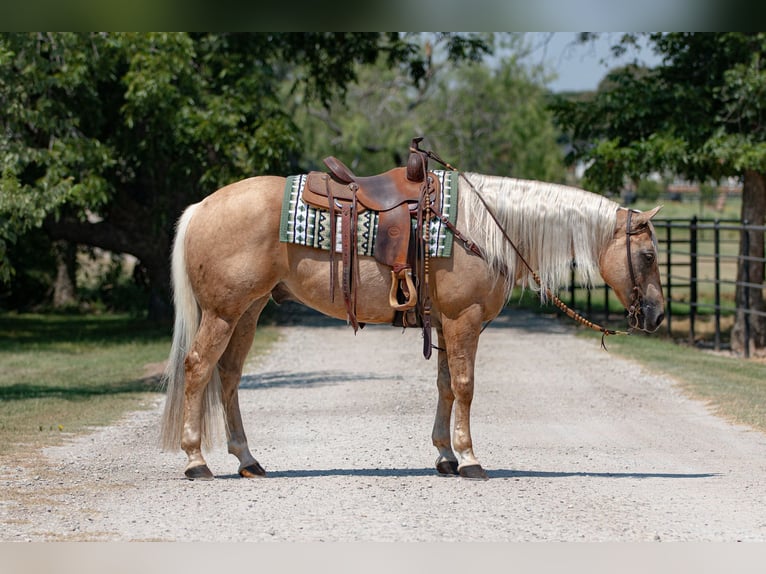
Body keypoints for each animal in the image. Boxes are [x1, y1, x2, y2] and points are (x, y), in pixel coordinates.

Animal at [159, 171, 664, 482]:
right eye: (648, 255)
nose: (657, 315)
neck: (485, 229)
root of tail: (202, 206)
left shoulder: (445, 324)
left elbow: (445, 386)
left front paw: (445, 455)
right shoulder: (465, 320)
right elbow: (464, 386)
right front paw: (470, 459)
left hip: (248, 311)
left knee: (228, 376)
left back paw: (248, 460)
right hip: (224, 313)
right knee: (198, 368)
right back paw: (196, 461)